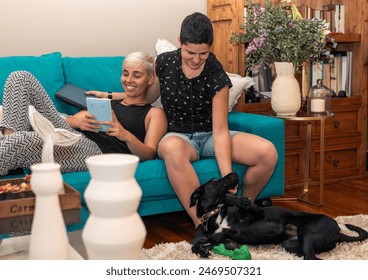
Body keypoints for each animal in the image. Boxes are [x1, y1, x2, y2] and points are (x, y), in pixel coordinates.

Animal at [190, 173, 368, 260]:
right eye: (215, 180)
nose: (233, 172)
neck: (214, 217)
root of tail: (339, 230)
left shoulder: (257, 210)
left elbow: (237, 200)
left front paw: (236, 199)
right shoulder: (227, 242)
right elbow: (195, 245)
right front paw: (201, 251)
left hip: (307, 231)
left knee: (311, 257)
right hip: (290, 244)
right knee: (310, 256)